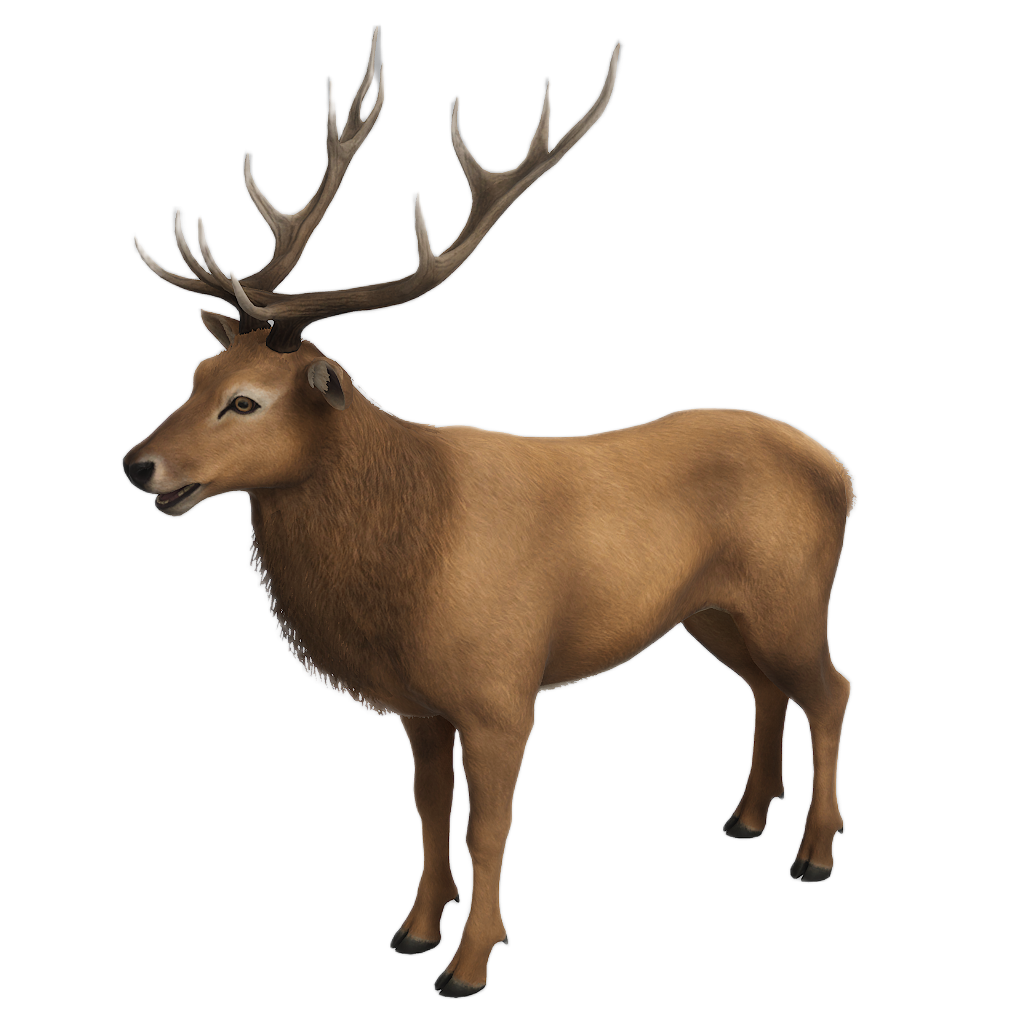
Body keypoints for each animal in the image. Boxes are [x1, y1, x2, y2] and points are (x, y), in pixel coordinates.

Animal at [122, 23, 856, 998]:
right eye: (196, 374)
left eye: (246, 402)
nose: (138, 463)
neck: (405, 564)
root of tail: (842, 471)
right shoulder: (418, 702)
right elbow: (428, 808)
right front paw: (412, 929)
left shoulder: (502, 688)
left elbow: (489, 823)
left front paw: (471, 961)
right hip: (711, 610)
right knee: (767, 685)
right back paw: (744, 817)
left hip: (791, 592)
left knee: (831, 687)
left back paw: (815, 853)